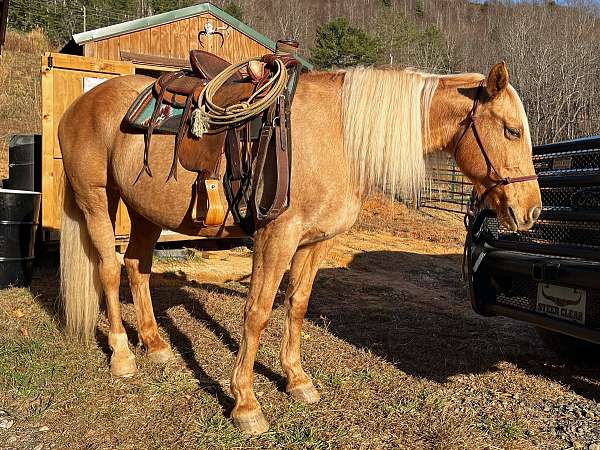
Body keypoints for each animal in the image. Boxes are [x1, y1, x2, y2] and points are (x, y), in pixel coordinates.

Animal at [58, 59, 540, 432]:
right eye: (512, 131)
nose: (532, 211)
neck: (340, 135)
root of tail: (77, 106)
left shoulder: (316, 242)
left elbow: (297, 305)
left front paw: (296, 380)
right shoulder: (277, 238)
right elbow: (256, 312)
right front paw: (245, 403)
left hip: (143, 212)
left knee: (137, 267)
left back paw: (156, 345)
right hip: (97, 201)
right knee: (108, 270)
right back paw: (123, 355)